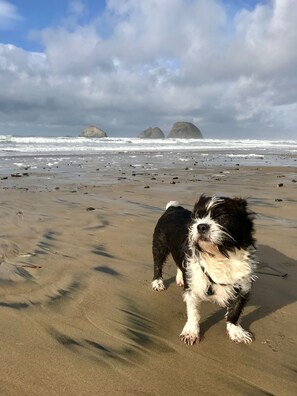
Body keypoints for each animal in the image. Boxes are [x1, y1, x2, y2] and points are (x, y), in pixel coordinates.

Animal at [151, 196, 256, 344]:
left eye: (221, 218)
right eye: (197, 218)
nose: (201, 226)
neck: (219, 255)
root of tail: (173, 208)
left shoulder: (243, 284)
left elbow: (235, 310)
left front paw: (236, 332)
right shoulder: (194, 286)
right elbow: (193, 312)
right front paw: (191, 332)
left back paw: (180, 278)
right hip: (159, 245)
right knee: (158, 264)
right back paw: (157, 282)